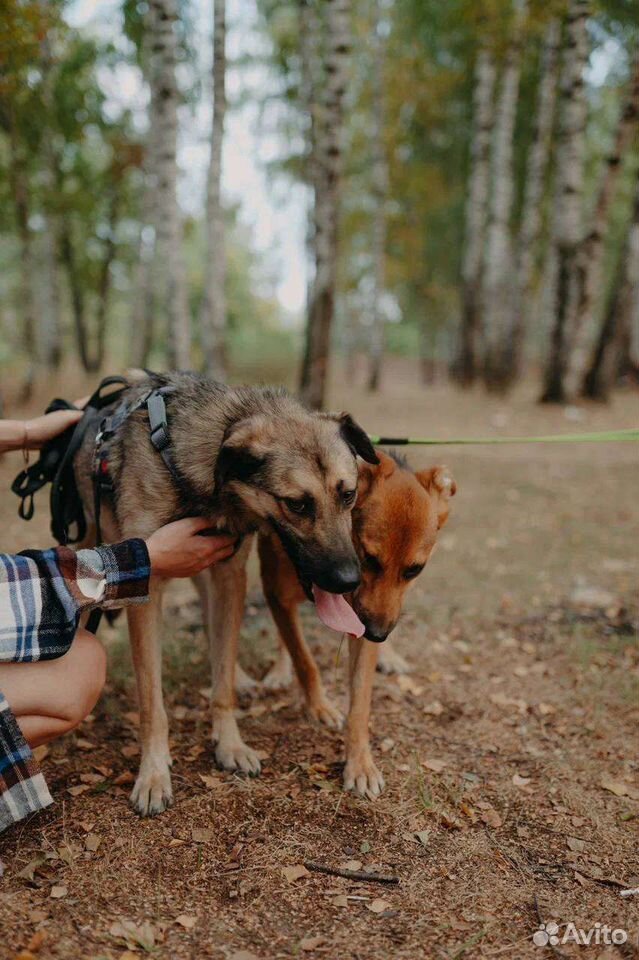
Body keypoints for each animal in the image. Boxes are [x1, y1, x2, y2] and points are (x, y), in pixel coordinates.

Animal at [72, 372, 378, 812]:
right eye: (297, 504)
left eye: (348, 494)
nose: (350, 581)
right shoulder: (148, 588)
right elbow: (152, 702)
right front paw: (153, 773)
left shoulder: (230, 576)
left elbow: (223, 677)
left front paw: (229, 744)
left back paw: (244, 679)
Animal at [256, 454, 456, 800]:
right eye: (370, 559)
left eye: (414, 570)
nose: (378, 634)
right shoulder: (277, 592)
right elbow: (304, 659)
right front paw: (319, 706)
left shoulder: (362, 625)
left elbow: (360, 702)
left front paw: (360, 764)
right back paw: (280, 671)